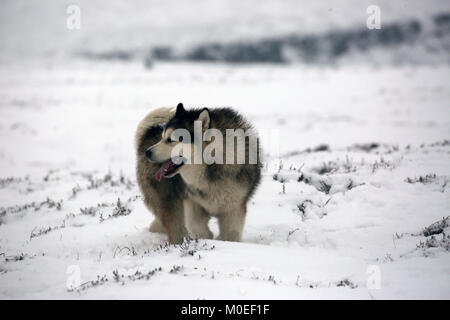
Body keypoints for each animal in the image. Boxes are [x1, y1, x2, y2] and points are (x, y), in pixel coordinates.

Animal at [134, 104, 260, 244]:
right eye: (162, 137)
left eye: (170, 139)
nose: (148, 152)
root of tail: (149, 133)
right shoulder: (191, 202)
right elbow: (197, 227)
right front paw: (207, 238)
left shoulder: (233, 209)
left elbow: (231, 235)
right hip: (170, 203)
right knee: (175, 226)